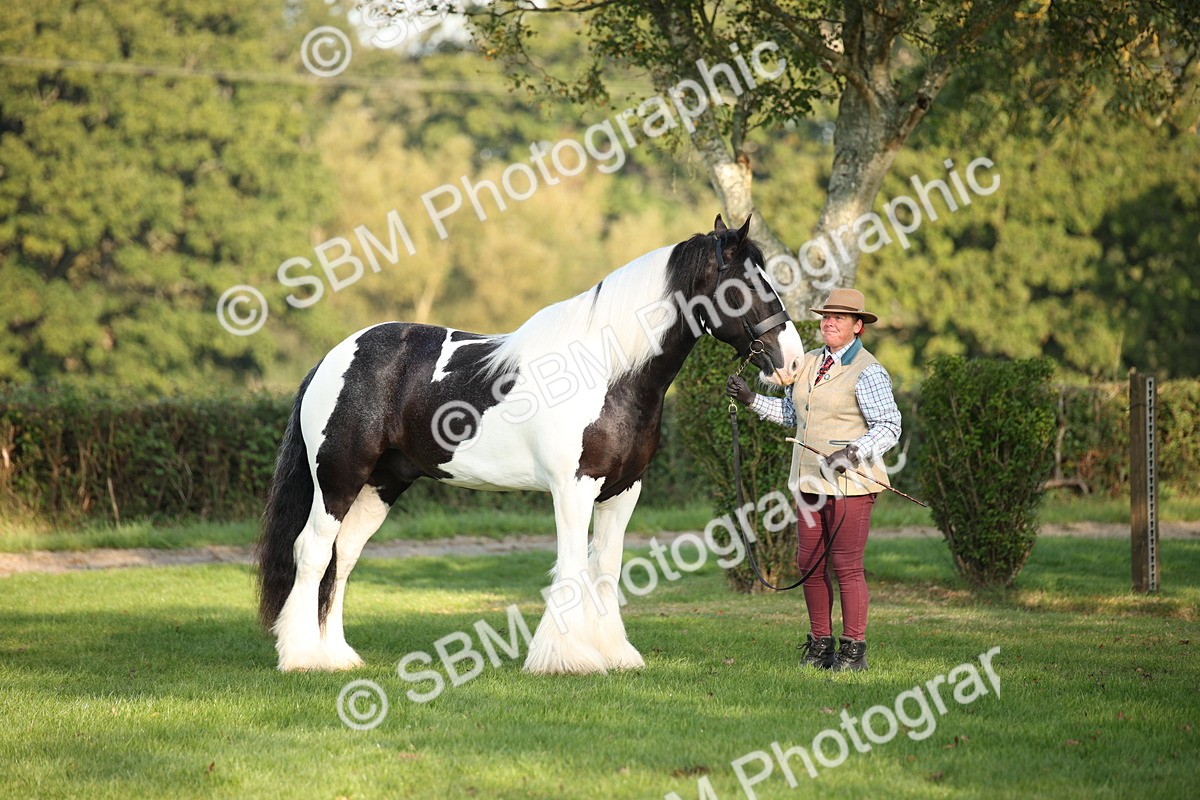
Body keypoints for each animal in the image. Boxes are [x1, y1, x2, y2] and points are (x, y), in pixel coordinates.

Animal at [256, 214, 805, 674]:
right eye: (745, 285)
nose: (793, 362)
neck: (606, 370)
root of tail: (334, 356)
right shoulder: (574, 488)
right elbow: (572, 568)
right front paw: (567, 659)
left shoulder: (624, 491)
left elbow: (605, 569)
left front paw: (615, 654)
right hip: (339, 479)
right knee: (312, 551)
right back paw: (302, 657)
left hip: (381, 484)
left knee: (343, 556)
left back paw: (336, 655)